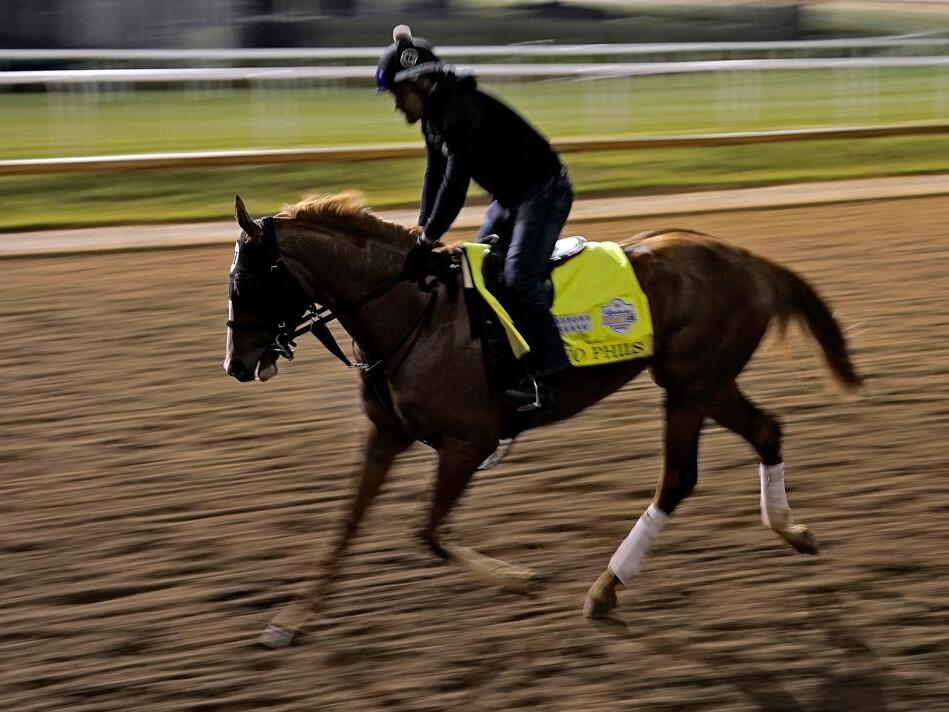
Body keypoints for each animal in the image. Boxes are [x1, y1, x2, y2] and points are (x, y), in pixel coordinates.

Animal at [223, 192, 862, 649]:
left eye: (250, 280)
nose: (237, 364)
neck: (415, 313)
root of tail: (748, 259)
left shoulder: (468, 442)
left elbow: (427, 534)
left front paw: (517, 578)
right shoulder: (386, 435)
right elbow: (347, 526)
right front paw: (291, 620)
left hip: (691, 385)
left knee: (678, 479)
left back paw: (604, 591)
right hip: (707, 383)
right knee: (766, 431)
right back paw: (791, 530)